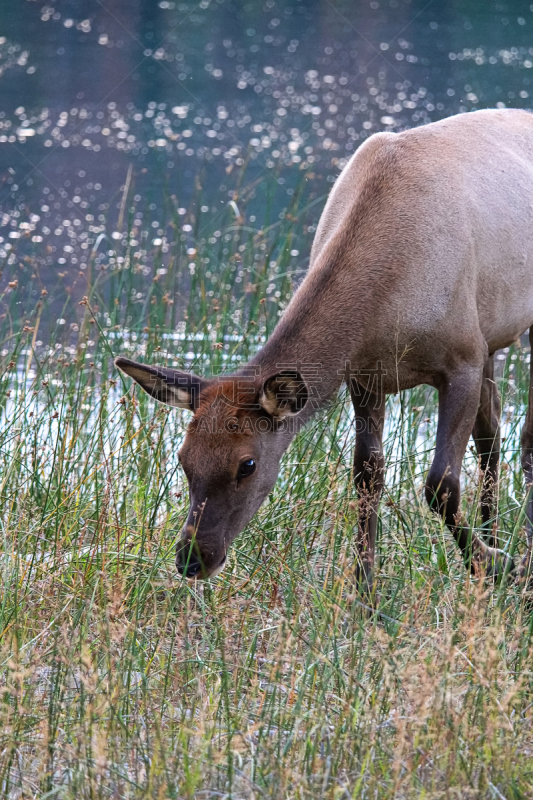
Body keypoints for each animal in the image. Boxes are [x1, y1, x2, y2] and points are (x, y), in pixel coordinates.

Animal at [115, 109, 532, 592]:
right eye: (183, 459)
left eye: (247, 464)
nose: (193, 558)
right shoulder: (367, 376)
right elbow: (367, 476)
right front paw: (365, 590)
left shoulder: (462, 354)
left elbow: (440, 484)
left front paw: (497, 563)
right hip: (493, 342)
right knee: (493, 432)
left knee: (518, 437)